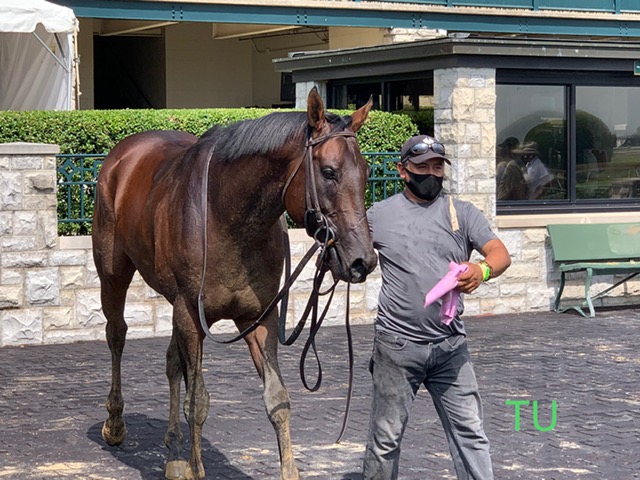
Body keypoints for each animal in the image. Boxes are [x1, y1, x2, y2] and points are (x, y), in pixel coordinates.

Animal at [92, 88, 378, 478]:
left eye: (366, 172)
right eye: (329, 172)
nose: (362, 260)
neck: (225, 216)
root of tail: (122, 155)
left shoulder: (257, 318)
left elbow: (277, 399)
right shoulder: (190, 314)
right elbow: (197, 401)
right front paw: (196, 466)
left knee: (171, 362)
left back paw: (174, 452)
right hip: (115, 274)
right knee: (117, 334)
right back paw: (116, 423)